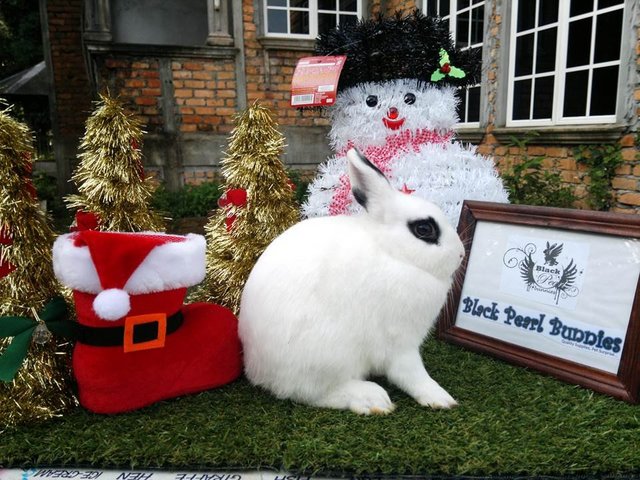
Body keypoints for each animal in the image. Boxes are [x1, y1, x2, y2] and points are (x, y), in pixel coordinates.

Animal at [238, 148, 462, 414]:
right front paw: (441, 398)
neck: (392, 253)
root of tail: (257, 370)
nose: (461, 255)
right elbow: (412, 374)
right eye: (424, 229)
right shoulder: (400, 341)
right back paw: (372, 399)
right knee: (311, 392)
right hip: (327, 355)